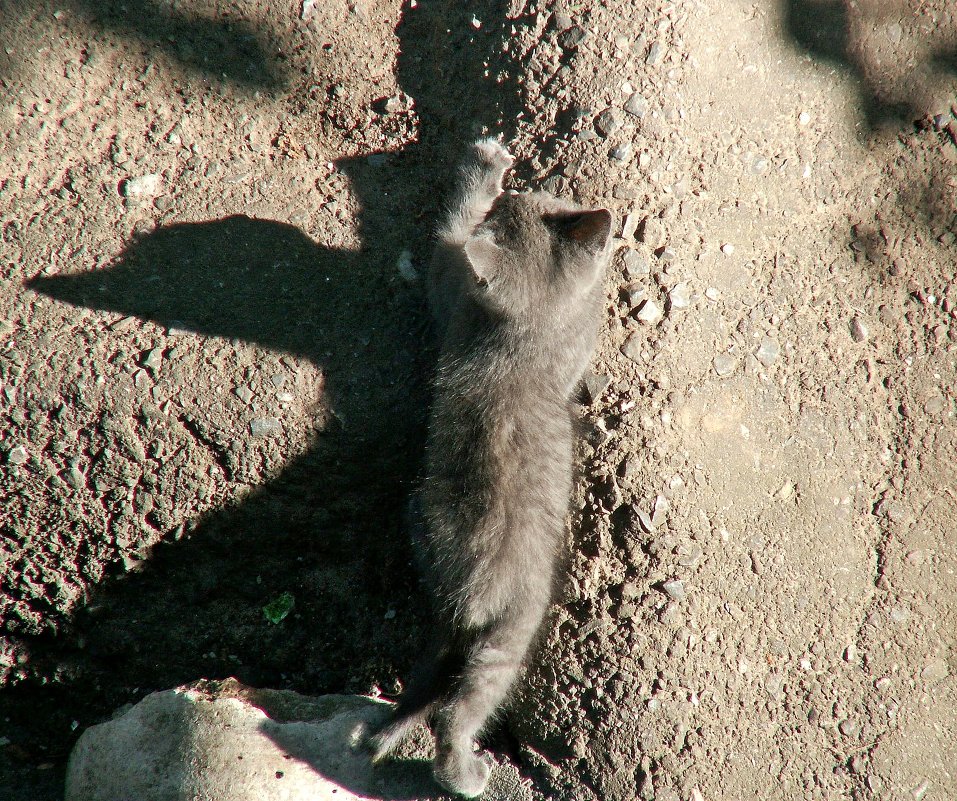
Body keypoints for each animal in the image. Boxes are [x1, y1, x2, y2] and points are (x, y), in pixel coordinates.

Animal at [370, 138, 608, 792]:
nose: (517, 190)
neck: (520, 335)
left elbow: (449, 239)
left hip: (436, 574)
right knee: (458, 708)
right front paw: (485, 169)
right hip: (512, 630)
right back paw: (462, 771)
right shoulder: (454, 291)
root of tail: (465, 592)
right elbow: (447, 235)